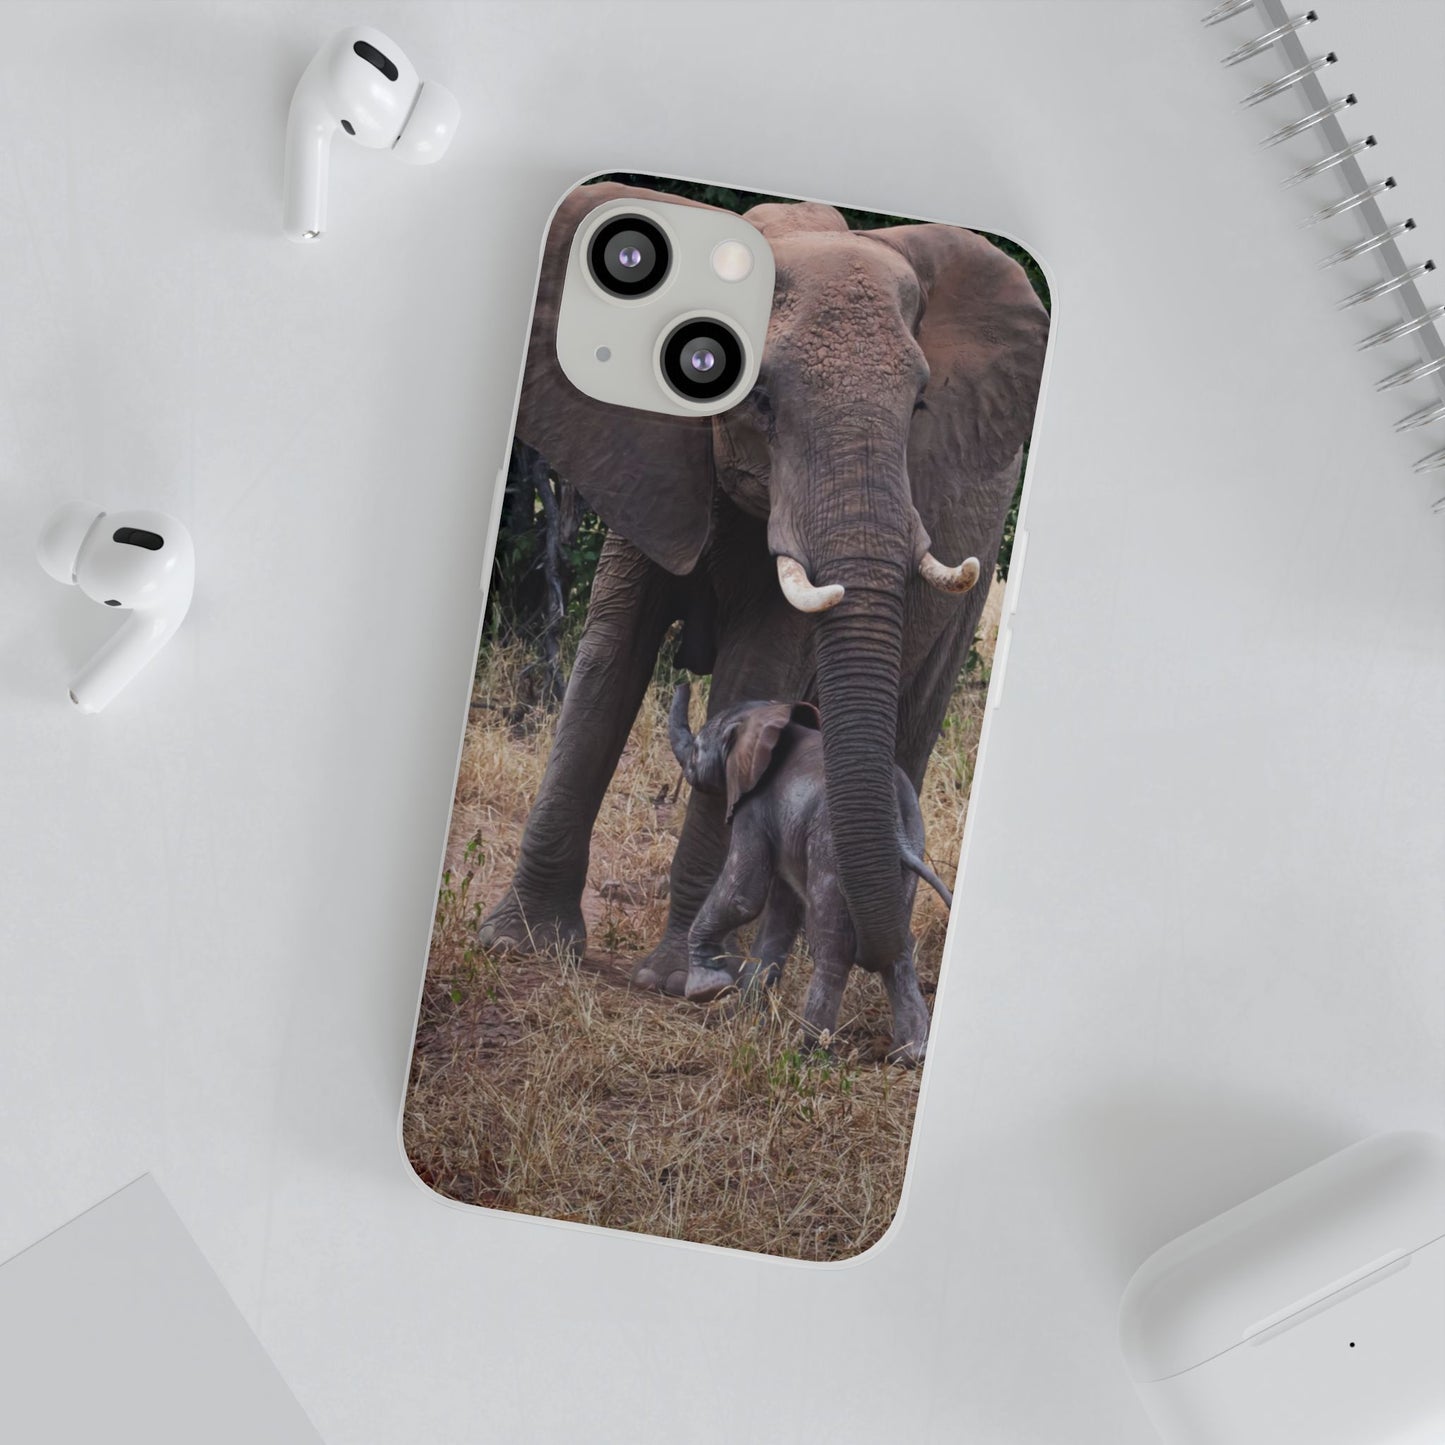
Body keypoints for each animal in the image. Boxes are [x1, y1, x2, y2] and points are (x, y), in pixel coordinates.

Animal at [477, 180, 1049, 995]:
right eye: (760, 399)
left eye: (919, 407)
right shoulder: (646, 456)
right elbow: (607, 662)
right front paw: (519, 944)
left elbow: (756, 670)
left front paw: (681, 981)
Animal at [666, 683, 954, 1064]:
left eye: (697, 749)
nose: (682, 683)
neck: (770, 717)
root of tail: (892, 811)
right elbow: (781, 913)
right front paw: (743, 1018)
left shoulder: (754, 807)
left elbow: (743, 896)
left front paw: (707, 989)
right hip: (911, 843)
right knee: (899, 946)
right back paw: (910, 1055)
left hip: (830, 845)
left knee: (833, 945)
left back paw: (810, 1052)